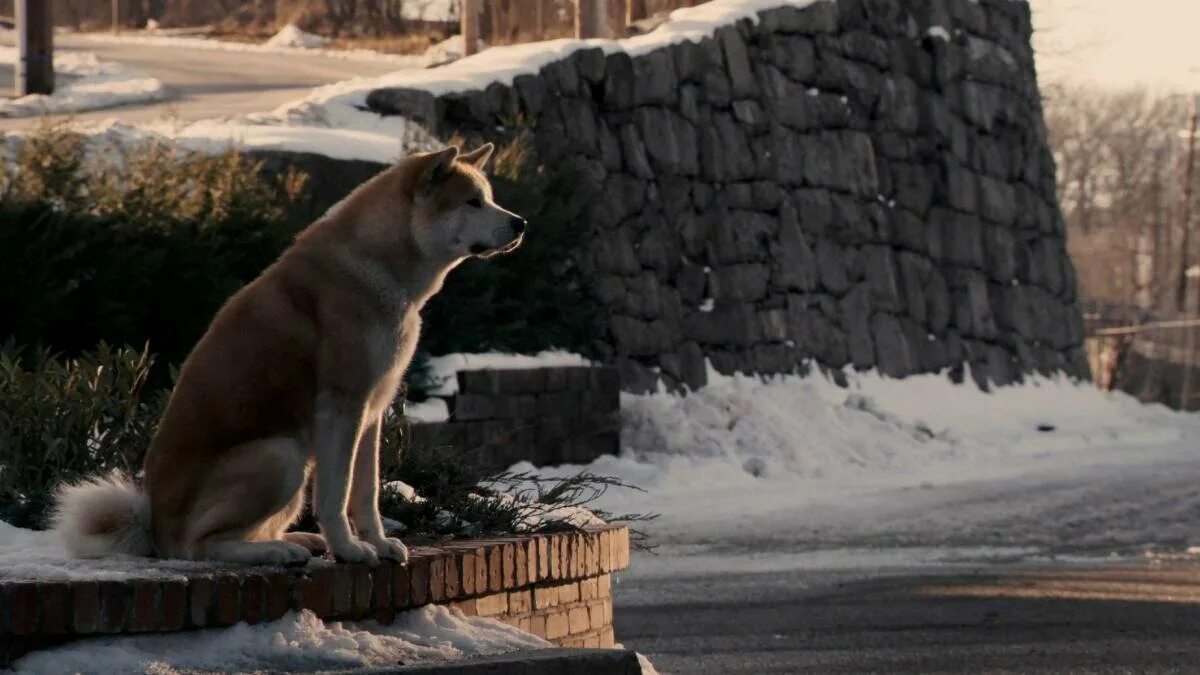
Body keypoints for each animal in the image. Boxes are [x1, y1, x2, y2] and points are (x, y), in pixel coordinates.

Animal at [52, 144, 525, 564]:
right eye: (473, 201)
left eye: (489, 197)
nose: (521, 223)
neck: (379, 263)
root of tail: (154, 529)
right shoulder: (343, 407)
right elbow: (337, 494)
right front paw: (349, 550)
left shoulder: (372, 411)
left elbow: (367, 493)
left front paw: (378, 544)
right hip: (281, 454)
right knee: (199, 545)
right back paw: (276, 552)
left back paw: (295, 541)